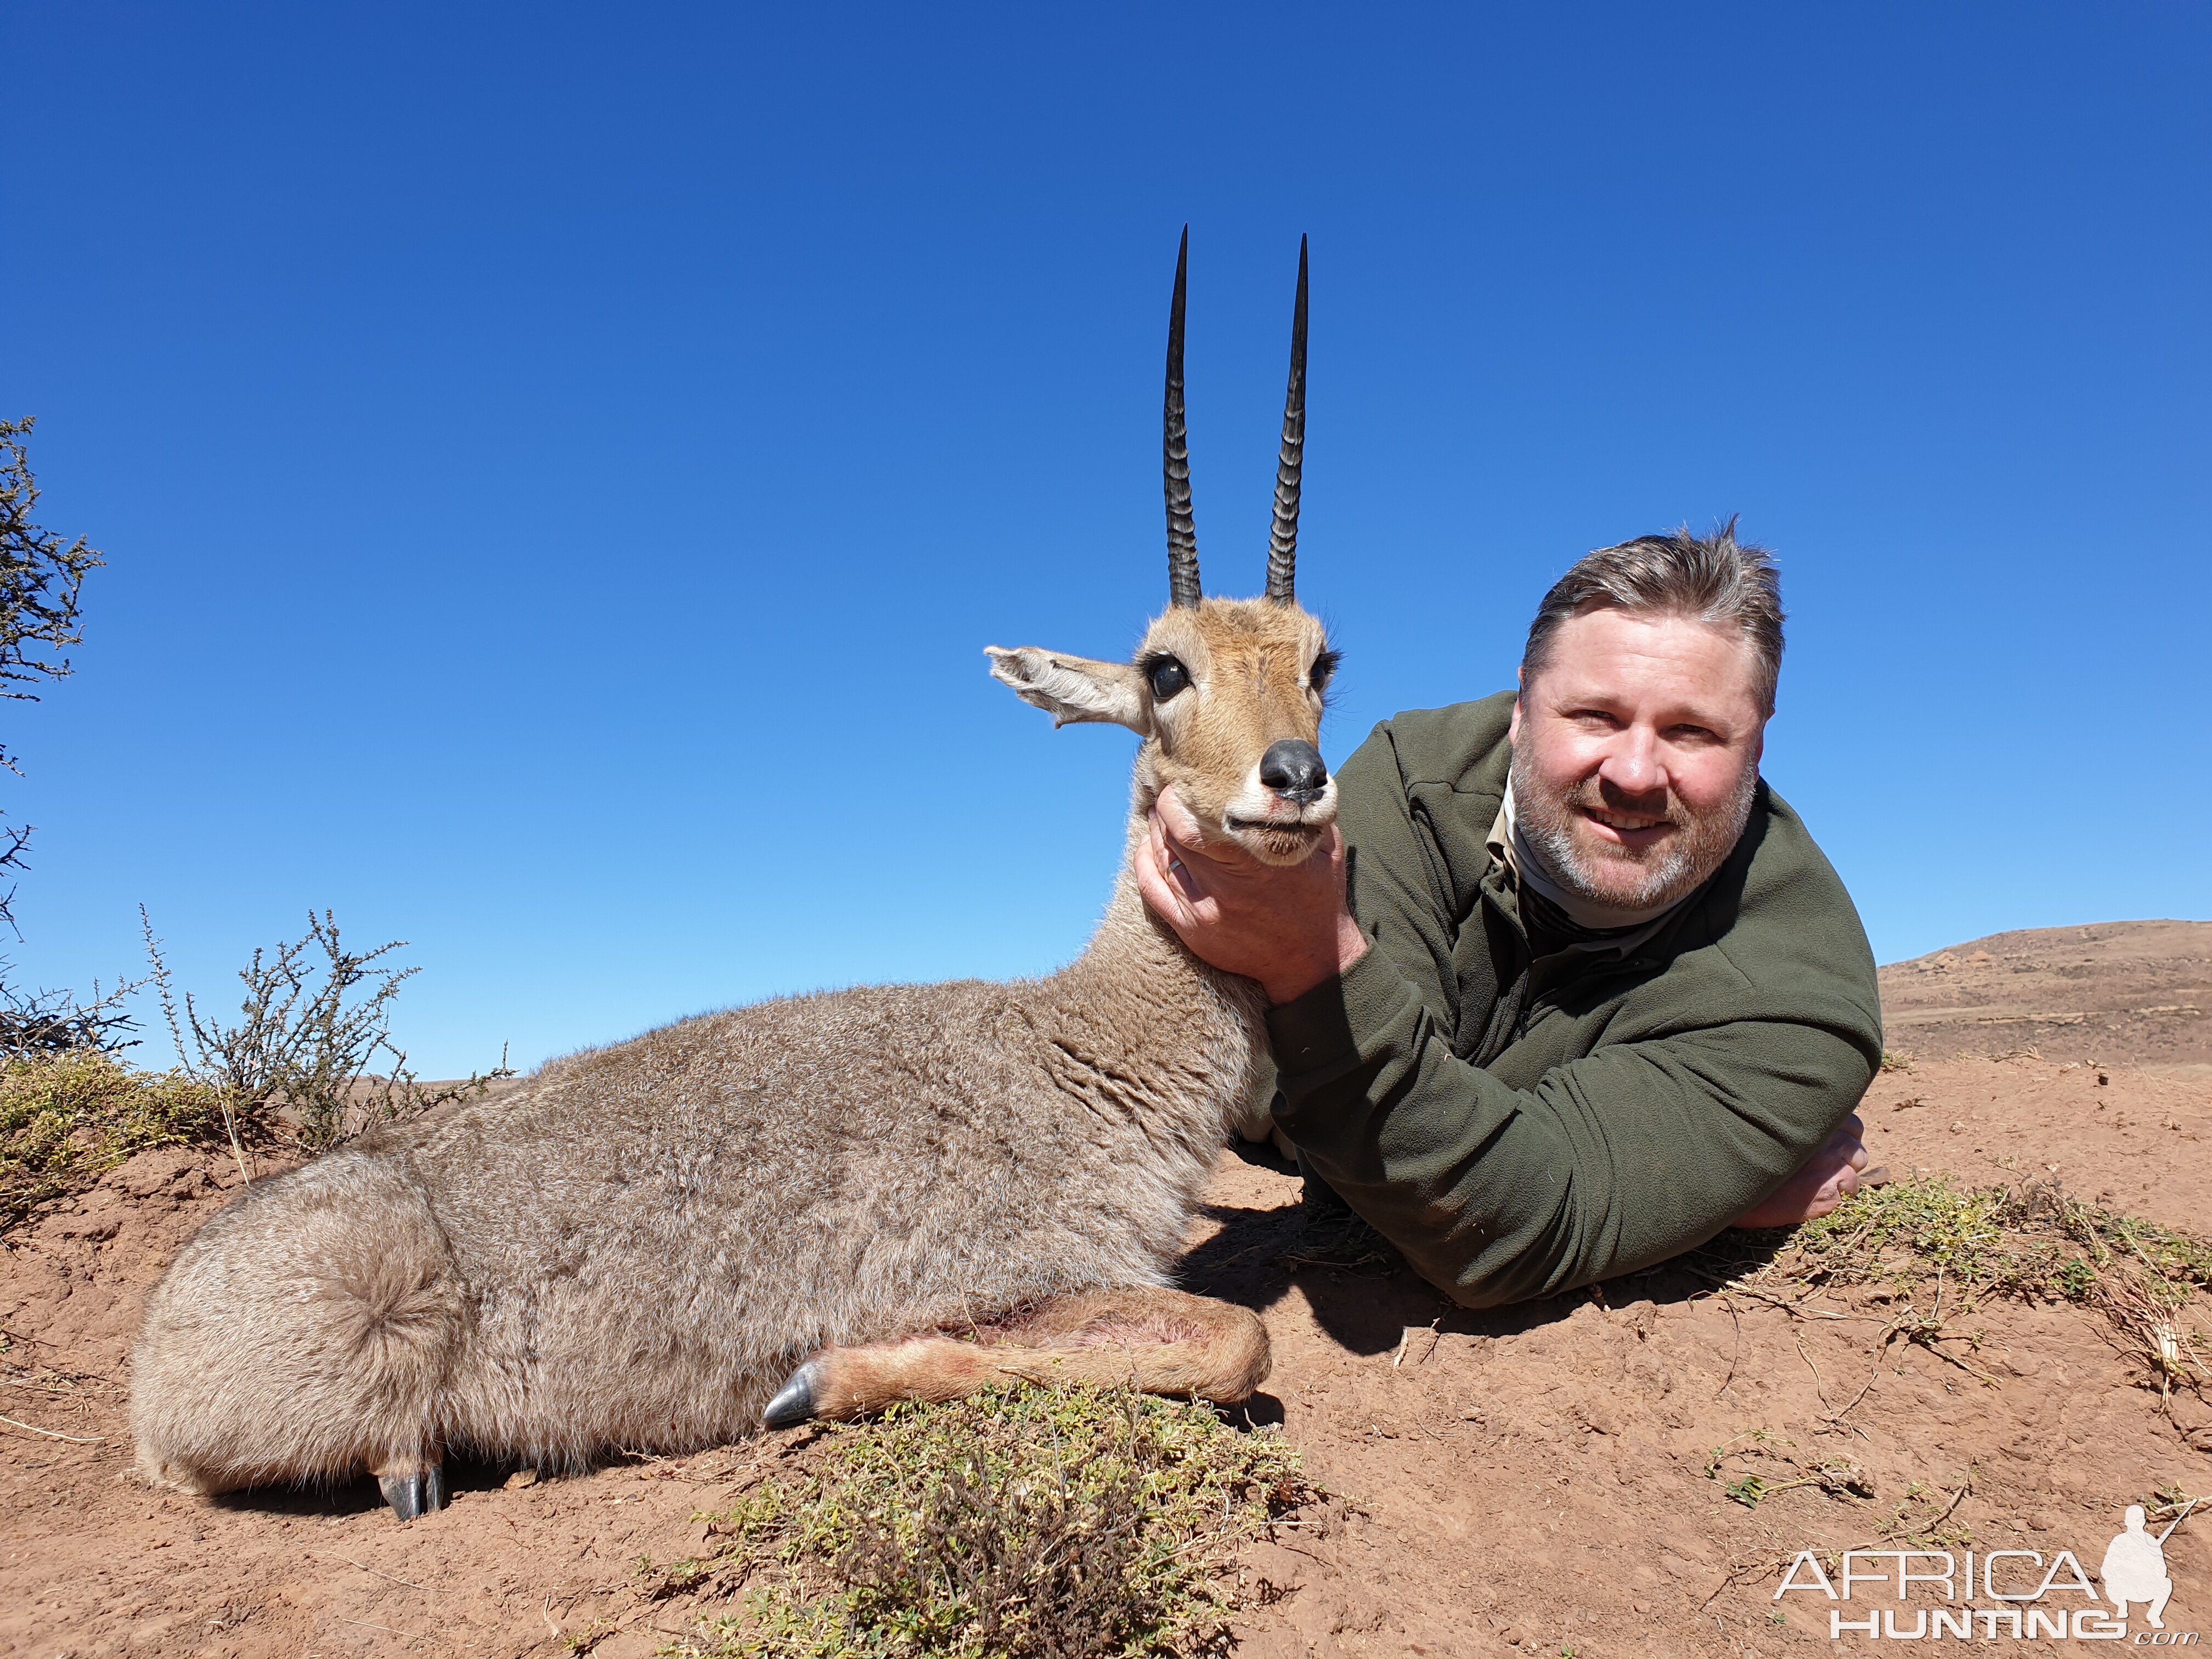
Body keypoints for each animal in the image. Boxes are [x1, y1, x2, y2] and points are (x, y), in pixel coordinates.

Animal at [143, 231, 1345, 1522]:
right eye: (1164, 668)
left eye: (1323, 660)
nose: (1294, 777)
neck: (1078, 1043)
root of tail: (161, 1335)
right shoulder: (1022, 1274)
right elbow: (1230, 1340)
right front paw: (812, 1381)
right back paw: (409, 1463)